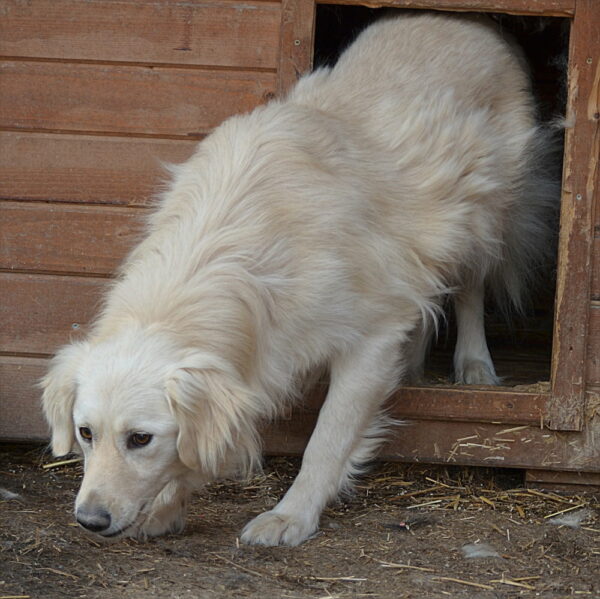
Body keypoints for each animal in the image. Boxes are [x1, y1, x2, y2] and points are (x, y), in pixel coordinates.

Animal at [41, 12, 556, 548]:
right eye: (85, 433)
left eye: (140, 438)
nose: (90, 520)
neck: (227, 254)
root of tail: (466, 19)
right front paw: (167, 506)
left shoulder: (368, 340)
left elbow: (326, 440)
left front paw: (292, 516)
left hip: (486, 215)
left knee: (471, 289)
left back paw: (474, 364)